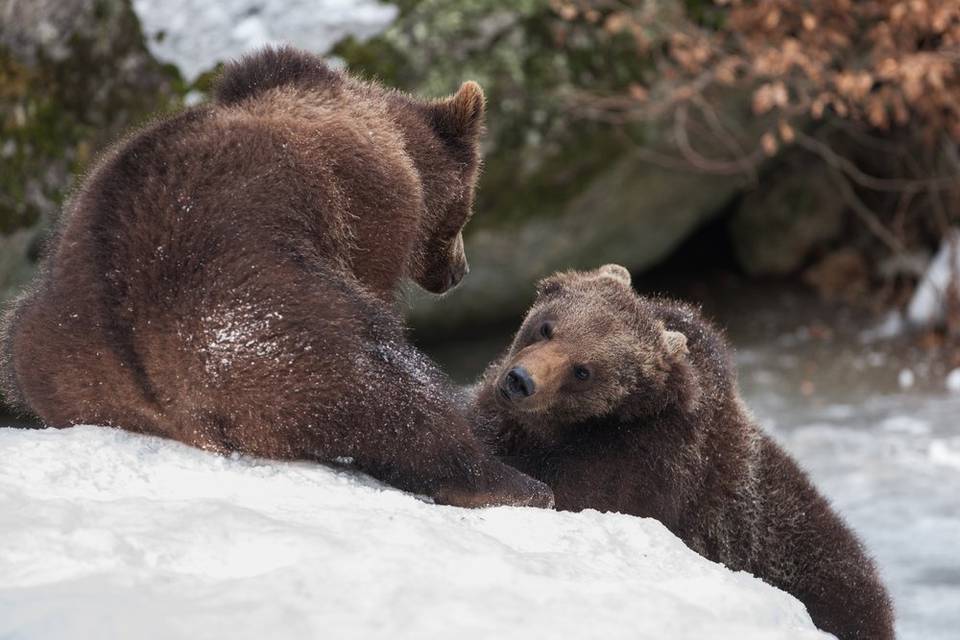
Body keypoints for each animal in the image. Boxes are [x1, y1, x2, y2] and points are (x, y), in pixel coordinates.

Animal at [1, 45, 556, 510]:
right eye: (467, 207)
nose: (459, 271)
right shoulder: (366, 210)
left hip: (49, 346)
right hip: (262, 319)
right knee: (380, 383)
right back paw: (515, 483)